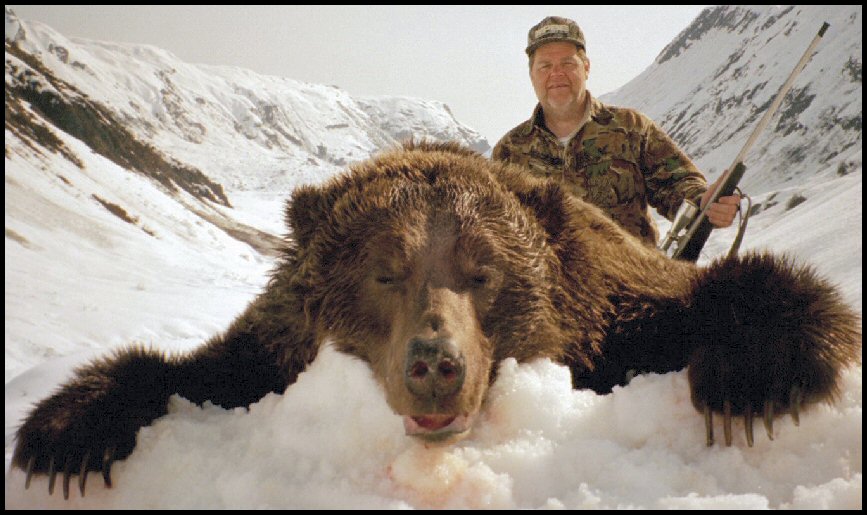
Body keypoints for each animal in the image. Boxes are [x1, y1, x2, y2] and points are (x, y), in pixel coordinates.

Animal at [12, 140, 861, 499]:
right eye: (383, 271)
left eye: (484, 273)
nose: (434, 361)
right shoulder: (271, 346)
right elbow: (188, 366)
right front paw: (64, 435)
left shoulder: (613, 307)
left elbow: (738, 293)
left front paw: (748, 381)